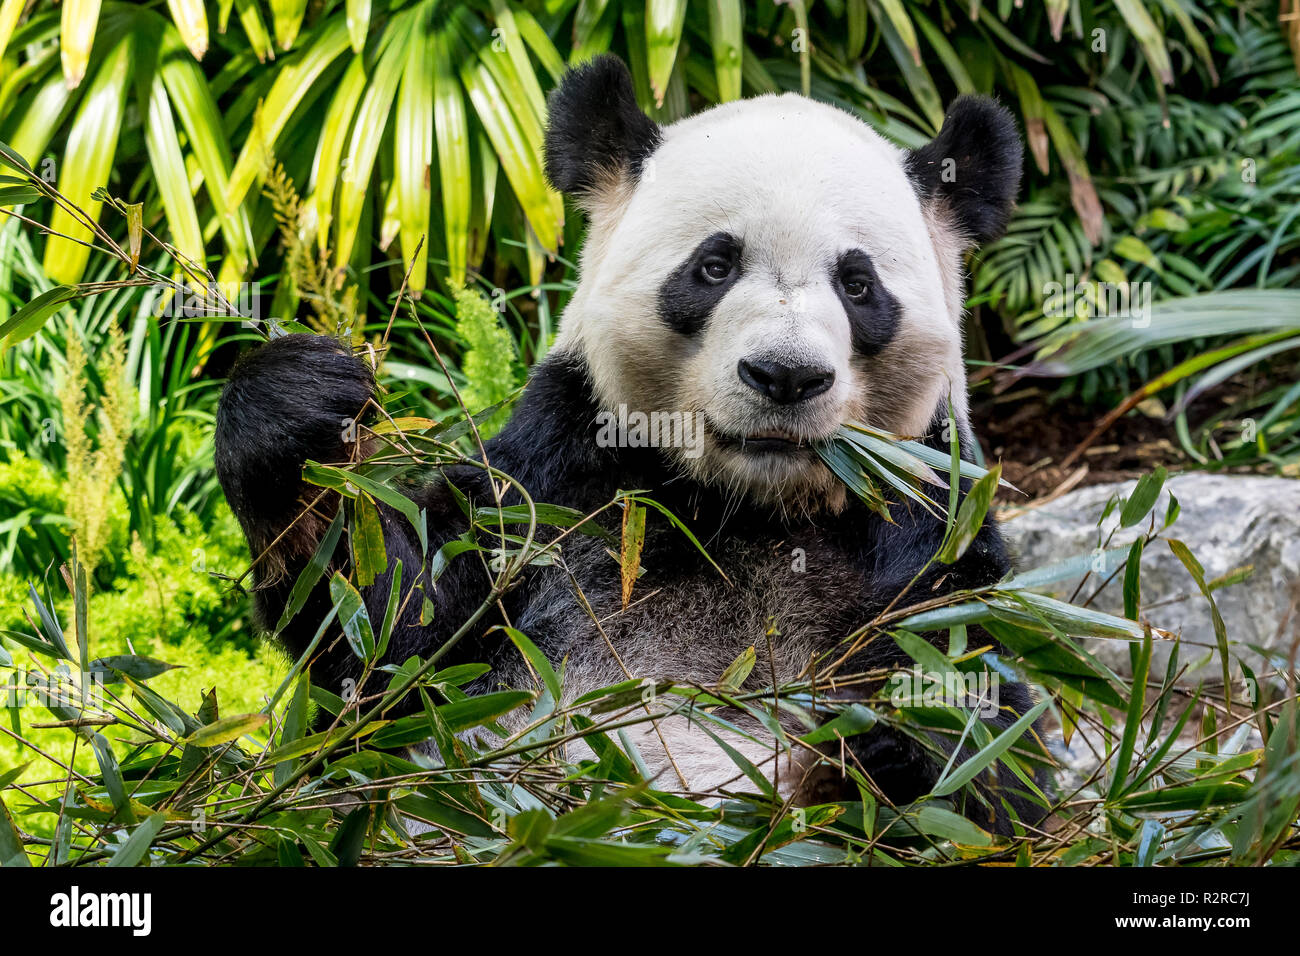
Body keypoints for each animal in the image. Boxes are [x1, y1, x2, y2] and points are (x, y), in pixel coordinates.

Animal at [215, 55, 1047, 834]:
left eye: (858, 284)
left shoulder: (920, 532)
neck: (747, 506)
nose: (784, 375)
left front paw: (884, 743)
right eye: (714, 265)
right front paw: (302, 403)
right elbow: (391, 635)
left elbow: (991, 747)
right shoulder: (557, 487)